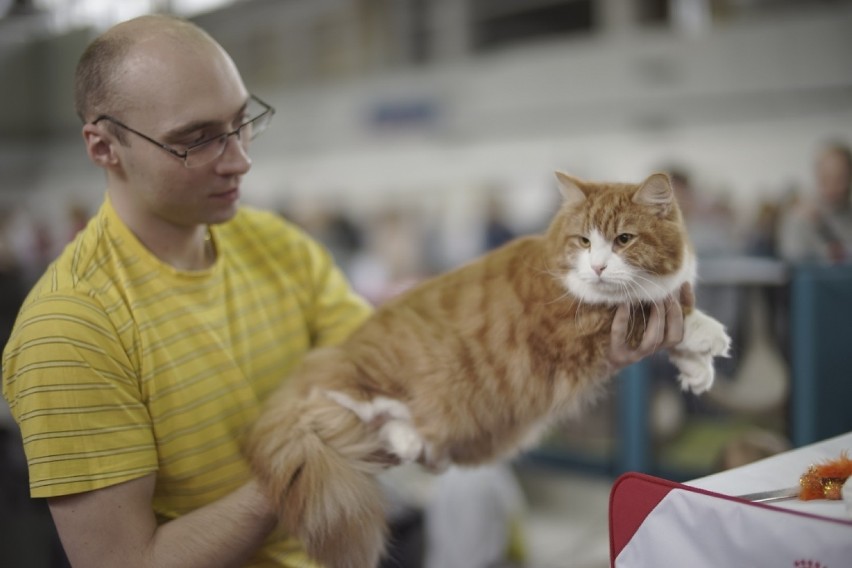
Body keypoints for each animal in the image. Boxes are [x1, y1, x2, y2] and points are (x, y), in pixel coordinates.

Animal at [245, 171, 732, 564]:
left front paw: (696, 370)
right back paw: (405, 434)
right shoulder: (580, 322)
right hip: (364, 382)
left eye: (624, 240)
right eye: (584, 241)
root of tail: (319, 362)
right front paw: (707, 336)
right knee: (342, 406)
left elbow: (669, 322)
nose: (596, 267)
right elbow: (655, 314)